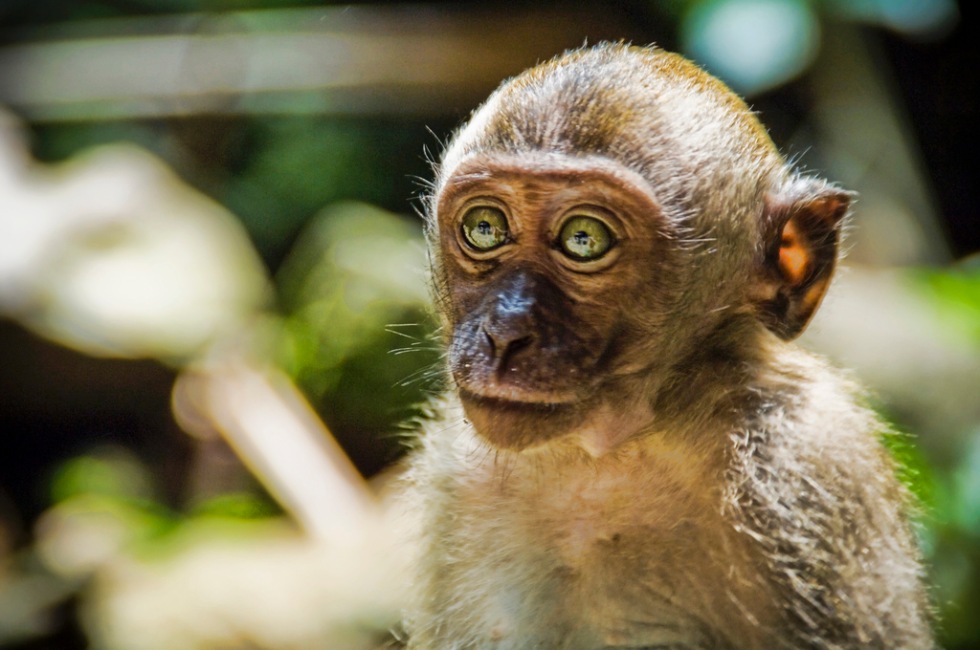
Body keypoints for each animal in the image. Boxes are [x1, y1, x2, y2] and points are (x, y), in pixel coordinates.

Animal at [398, 43, 936, 644]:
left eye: (583, 239)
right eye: (485, 228)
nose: (505, 332)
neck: (618, 445)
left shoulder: (816, 461)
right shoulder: (452, 475)